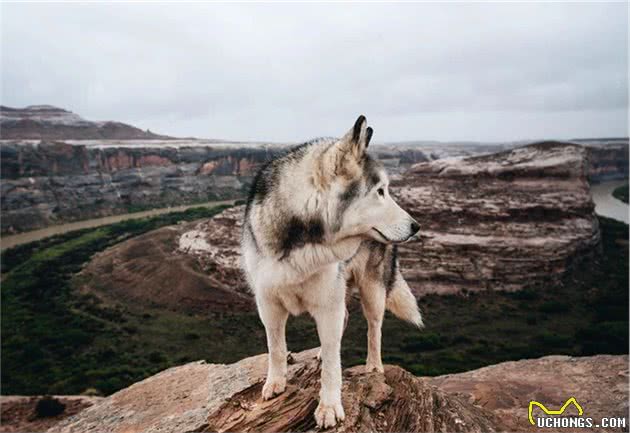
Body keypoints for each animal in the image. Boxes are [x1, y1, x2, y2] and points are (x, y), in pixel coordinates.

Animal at [242, 115, 424, 428]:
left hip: (372, 291)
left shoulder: (328, 305)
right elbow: (276, 348)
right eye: (380, 191)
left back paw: (373, 367)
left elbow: (333, 363)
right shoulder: (269, 304)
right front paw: (275, 383)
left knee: (374, 329)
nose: (415, 226)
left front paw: (328, 407)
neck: (302, 240)